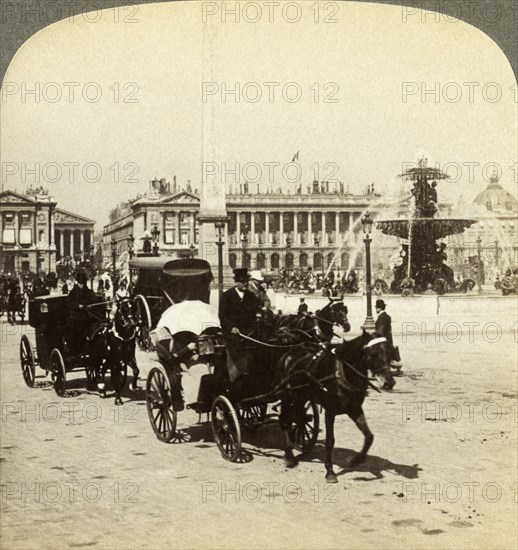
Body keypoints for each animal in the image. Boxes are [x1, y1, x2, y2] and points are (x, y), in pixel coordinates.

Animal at [278, 332, 396, 484]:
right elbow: (330, 441)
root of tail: (290, 352)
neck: (342, 373)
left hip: (301, 396)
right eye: (373, 353)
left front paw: (357, 460)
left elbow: (369, 436)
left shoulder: (354, 408)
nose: (389, 382)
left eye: (389, 352)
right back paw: (289, 456)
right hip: (287, 394)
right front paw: (330, 471)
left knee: (296, 415)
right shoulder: (330, 411)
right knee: (285, 419)